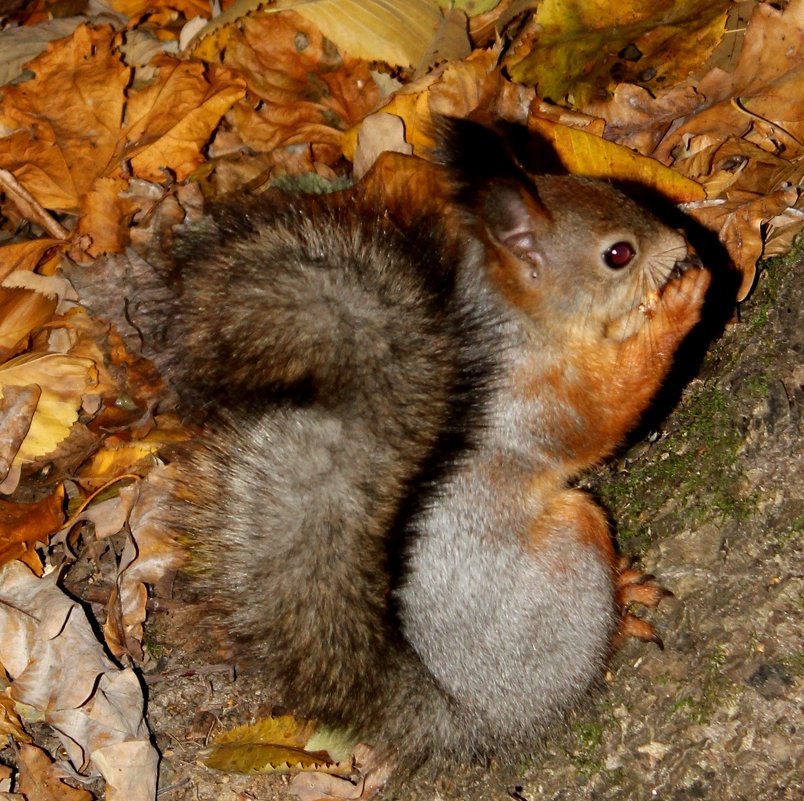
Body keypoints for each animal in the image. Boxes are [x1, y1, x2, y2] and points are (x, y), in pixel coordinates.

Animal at [129, 117, 712, 780]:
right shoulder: (540, 402)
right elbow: (604, 418)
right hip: (572, 544)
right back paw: (618, 607)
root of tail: (476, 716)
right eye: (618, 254)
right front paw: (682, 302)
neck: (523, 329)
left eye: (607, 187)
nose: (683, 241)